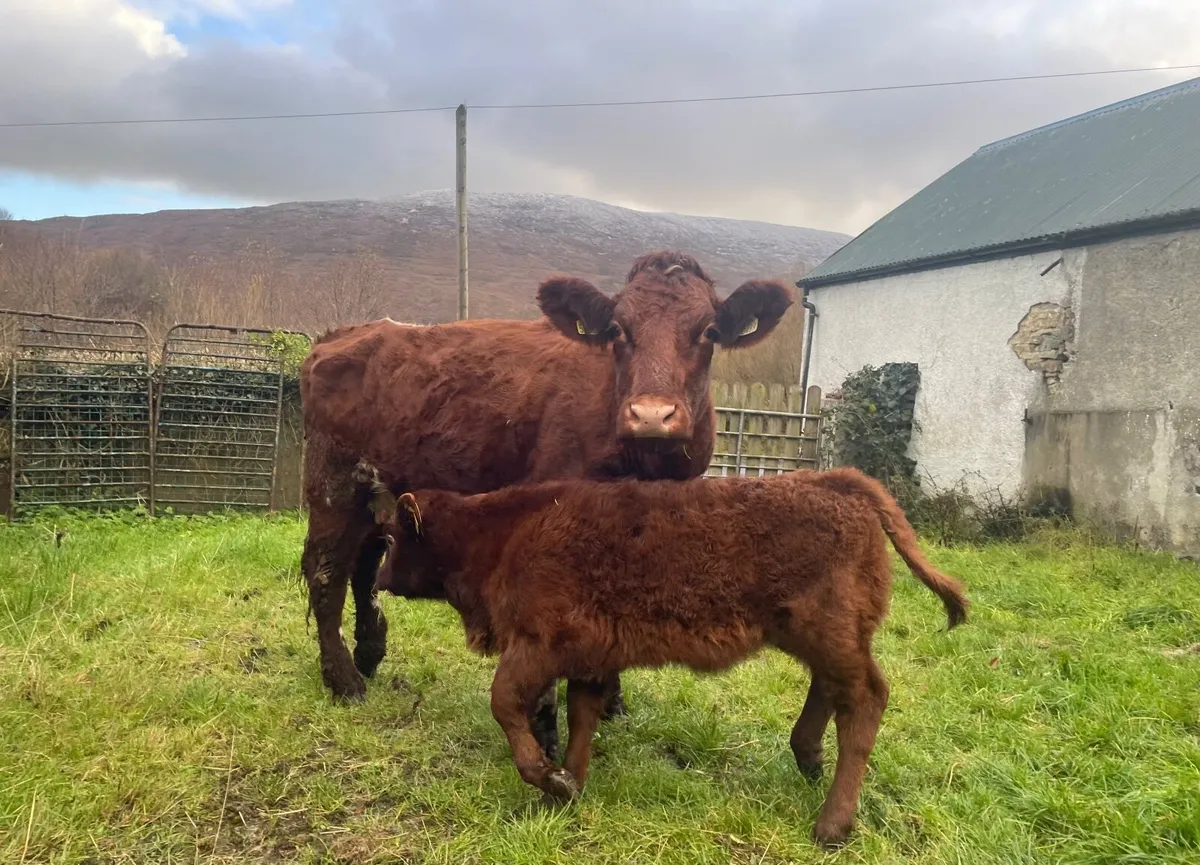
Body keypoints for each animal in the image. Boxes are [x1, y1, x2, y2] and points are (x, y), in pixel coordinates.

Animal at [297, 250, 794, 760]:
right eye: (617, 329)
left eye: (709, 332)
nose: (652, 415)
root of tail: (344, 333)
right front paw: (545, 732)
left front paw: (611, 701)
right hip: (335, 480)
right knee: (326, 569)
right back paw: (344, 681)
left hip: (381, 488)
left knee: (365, 567)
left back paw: (369, 655)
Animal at [367, 466, 968, 849]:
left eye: (392, 538)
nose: (376, 579)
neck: (504, 533)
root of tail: (838, 483)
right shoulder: (591, 658)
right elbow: (582, 717)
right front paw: (571, 787)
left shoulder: (536, 646)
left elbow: (506, 704)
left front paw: (550, 780)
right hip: (817, 637)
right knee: (830, 690)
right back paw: (808, 761)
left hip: (828, 634)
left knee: (865, 698)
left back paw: (831, 826)